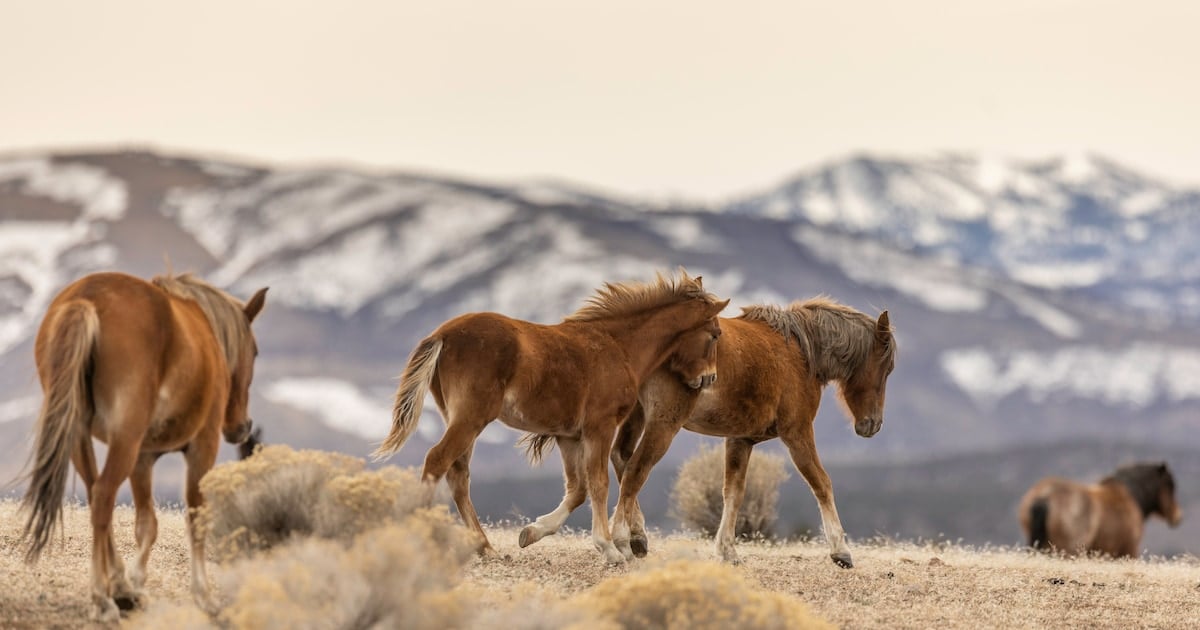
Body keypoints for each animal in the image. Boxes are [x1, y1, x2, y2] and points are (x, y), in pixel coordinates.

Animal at [19, 270, 267, 619]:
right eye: (254, 351)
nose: (241, 428)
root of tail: (86, 298)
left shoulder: (144, 458)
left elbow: (147, 525)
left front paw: (132, 583)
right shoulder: (202, 446)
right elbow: (195, 517)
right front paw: (203, 595)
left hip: (79, 434)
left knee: (96, 495)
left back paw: (116, 586)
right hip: (125, 439)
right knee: (103, 494)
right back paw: (101, 598)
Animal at [372, 267, 729, 561]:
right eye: (714, 334)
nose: (709, 378)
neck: (618, 346)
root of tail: (442, 335)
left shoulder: (568, 436)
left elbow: (578, 489)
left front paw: (532, 532)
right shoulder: (600, 427)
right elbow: (599, 483)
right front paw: (609, 548)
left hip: (459, 418)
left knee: (458, 474)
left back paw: (486, 548)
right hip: (471, 418)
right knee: (437, 461)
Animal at [520, 295, 897, 564]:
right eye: (886, 367)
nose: (873, 425)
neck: (800, 351)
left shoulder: (740, 440)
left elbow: (733, 492)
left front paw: (727, 549)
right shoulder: (797, 433)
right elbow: (821, 483)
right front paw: (840, 550)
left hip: (638, 417)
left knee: (622, 459)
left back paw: (630, 535)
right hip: (663, 424)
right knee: (635, 470)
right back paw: (622, 539)